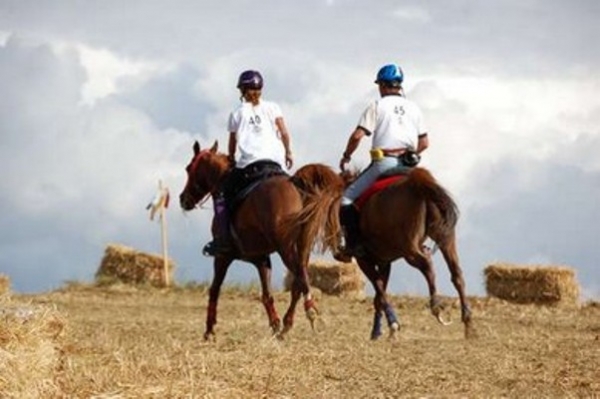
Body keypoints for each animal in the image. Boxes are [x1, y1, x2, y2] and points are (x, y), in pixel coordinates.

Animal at [178, 141, 340, 340]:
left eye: (188, 168)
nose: (183, 199)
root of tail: (295, 183)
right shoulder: (261, 259)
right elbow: (266, 294)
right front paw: (275, 324)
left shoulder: (222, 257)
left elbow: (214, 290)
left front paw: (209, 330)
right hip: (303, 247)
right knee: (297, 282)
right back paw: (287, 324)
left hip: (286, 248)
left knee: (302, 276)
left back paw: (310, 311)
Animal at [298, 167, 474, 340]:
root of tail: (419, 184)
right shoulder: (384, 261)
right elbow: (379, 295)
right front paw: (379, 330)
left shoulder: (364, 260)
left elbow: (380, 290)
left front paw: (391, 325)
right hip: (445, 238)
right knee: (456, 273)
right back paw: (467, 321)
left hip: (409, 249)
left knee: (427, 264)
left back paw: (436, 306)